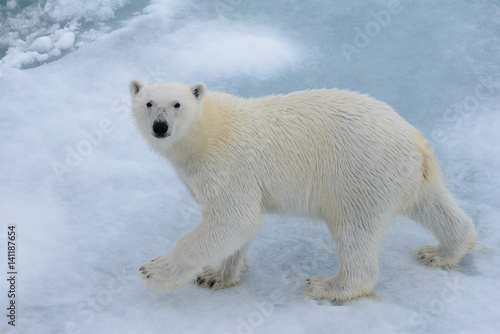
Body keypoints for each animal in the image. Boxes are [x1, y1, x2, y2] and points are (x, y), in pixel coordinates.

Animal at [130, 80, 476, 300]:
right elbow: (239, 226)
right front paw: (216, 275)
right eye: (148, 103)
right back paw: (440, 251)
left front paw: (154, 270)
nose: (160, 127)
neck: (207, 130)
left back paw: (328, 286)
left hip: (359, 174)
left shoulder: (226, 162)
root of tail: (415, 139)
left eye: (177, 104)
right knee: (433, 205)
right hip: (404, 176)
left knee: (354, 231)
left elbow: (233, 218)